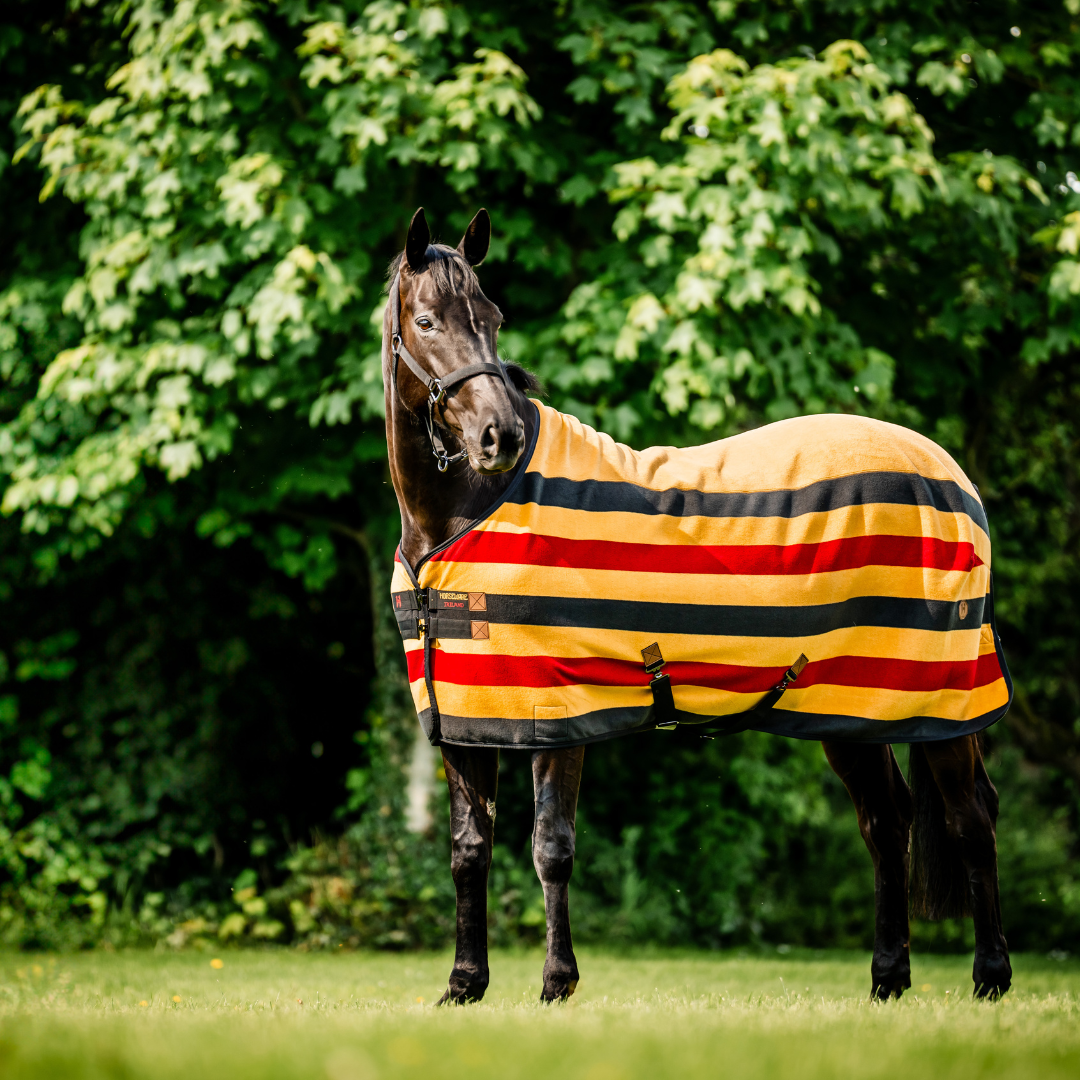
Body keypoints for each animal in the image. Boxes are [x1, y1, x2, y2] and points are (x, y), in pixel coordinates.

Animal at [382, 206, 1013, 1004]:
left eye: (492, 318)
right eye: (426, 320)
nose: (502, 435)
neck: (462, 516)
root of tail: (948, 476)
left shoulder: (557, 712)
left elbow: (551, 847)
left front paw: (557, 983)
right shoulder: (468, 717)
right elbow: (470, 850)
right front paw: (465, 986)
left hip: (942, 697)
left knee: (969, 818)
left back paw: (990, 977)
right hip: (852, 704)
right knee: (885, 819)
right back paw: (887, 979)